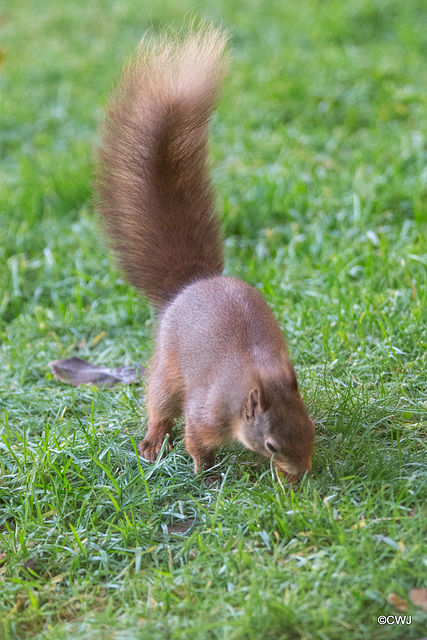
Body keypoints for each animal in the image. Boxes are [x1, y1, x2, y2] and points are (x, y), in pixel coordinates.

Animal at [95, 23, 316, 476]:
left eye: (312, 430)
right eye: (270, 443)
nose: (304, 473)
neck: (252, 379)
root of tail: (193, 283)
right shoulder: (204, 413)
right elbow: (197, 442)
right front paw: (206, 475)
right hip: (167, 369)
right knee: (159, 406)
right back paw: (152, 443)